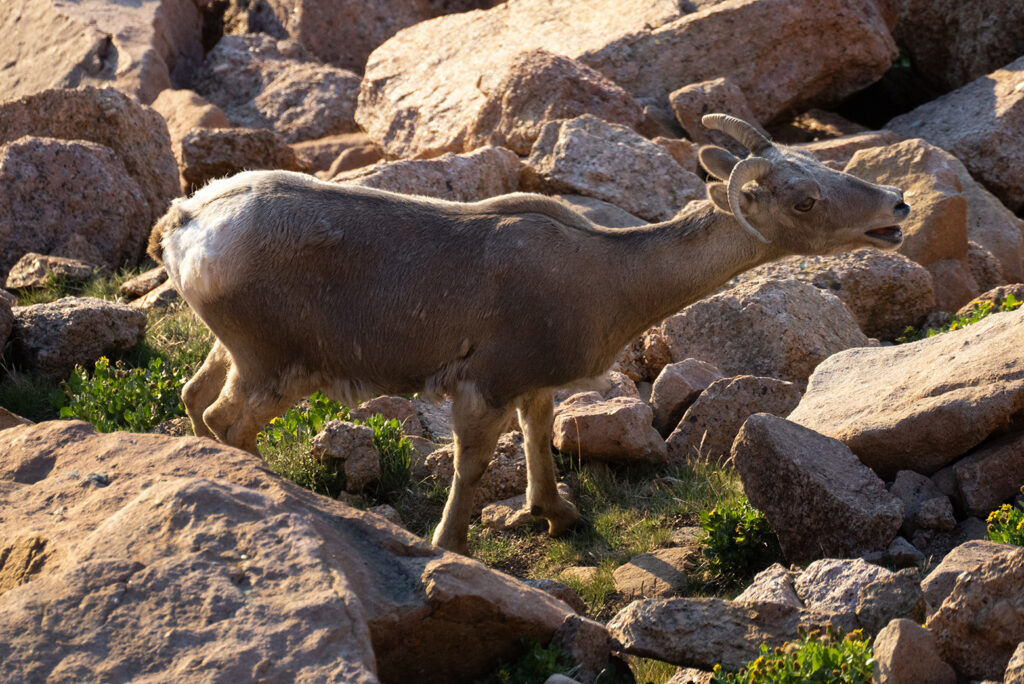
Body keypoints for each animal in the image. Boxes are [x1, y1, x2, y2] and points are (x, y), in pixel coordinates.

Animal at [149, 114, 910, 554]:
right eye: (804, 200)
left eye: (822, 168)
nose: (897, 208)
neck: (605, 276)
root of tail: (187, 223)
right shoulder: (482, 390)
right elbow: (474, 468)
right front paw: (452, 545)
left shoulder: (533, 390)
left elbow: (540, 442)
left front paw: (555, 517)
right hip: (272, 367)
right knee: (227, 421)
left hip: (233, 351)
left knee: (194, 399)